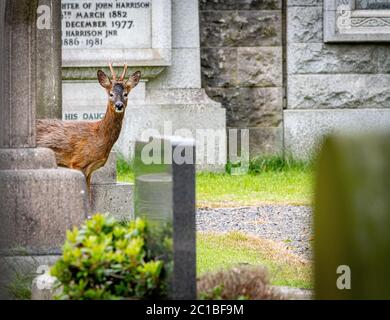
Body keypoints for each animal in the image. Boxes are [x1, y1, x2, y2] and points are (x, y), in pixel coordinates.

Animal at [35, 63, 141, 196]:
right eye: (111, 94)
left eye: (126, 94)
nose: (119, 105)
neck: (99, 136)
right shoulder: (78, 163)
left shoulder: (90, 170)